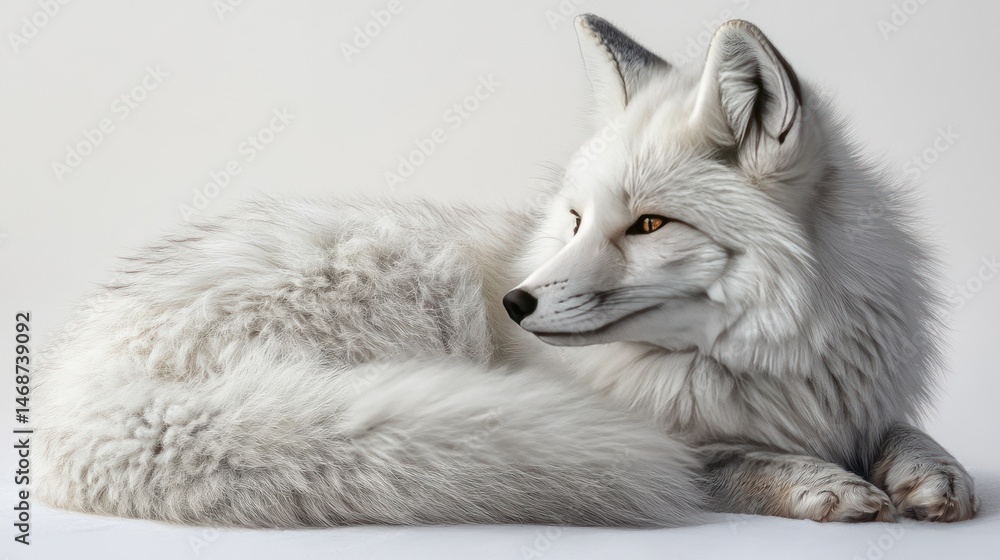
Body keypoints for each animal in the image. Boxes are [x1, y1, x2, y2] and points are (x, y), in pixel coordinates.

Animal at [35, 15, 977, 526]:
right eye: (576, 218)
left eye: (648, 224)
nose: (515, 303)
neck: (775, 364)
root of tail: (73, 379)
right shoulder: (677, 435)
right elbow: (731, 461)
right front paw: (826, 485)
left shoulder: (857, 399)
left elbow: (904, 435)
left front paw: (931, 477)